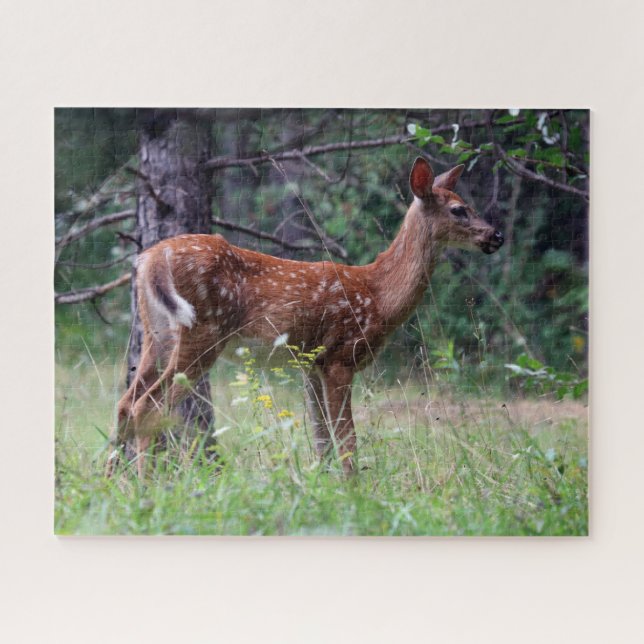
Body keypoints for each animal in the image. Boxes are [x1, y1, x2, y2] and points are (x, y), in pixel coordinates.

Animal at [107, 157, 503, 477]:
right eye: (459, 209)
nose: (496, 236)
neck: (378, 295)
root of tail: (150, 258)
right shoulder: (341, 356)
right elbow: (346, 440)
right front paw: (356, 491)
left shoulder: (311, 363)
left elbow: (321, 440)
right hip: (200, 332)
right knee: (147, 406)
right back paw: (145, 486)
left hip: (157, 334)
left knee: (126, 402)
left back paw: (113, 484)